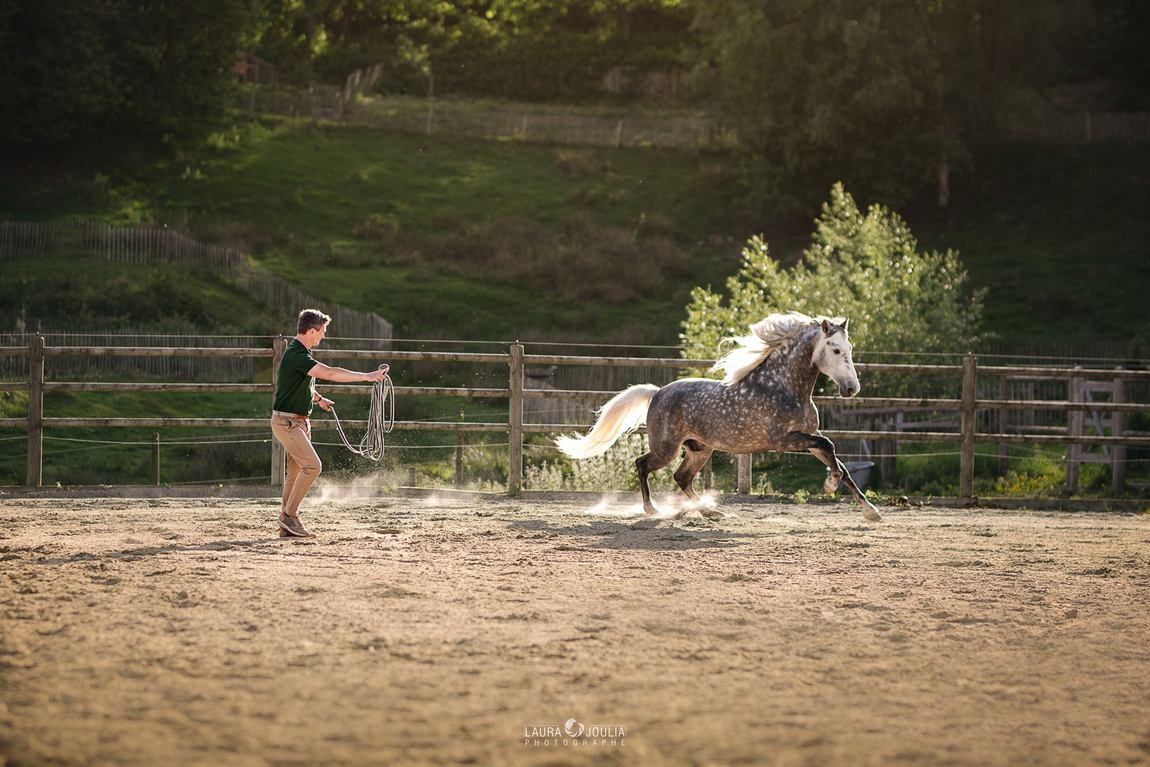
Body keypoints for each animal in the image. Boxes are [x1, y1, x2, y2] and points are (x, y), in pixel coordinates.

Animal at [556, 312, 882, 522]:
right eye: (836, 349)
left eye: (850, 348)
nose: (851, 388)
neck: (784, 386)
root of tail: (658, 392)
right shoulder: (784, 440)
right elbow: (831, 446)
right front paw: (829, 485)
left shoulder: (806, 439)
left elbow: (839, 460)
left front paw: (871, 512)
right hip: (666, 448)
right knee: (643, 465)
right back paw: (653, 510)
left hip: (700, 449)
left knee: (681, 477)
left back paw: (711, 510)